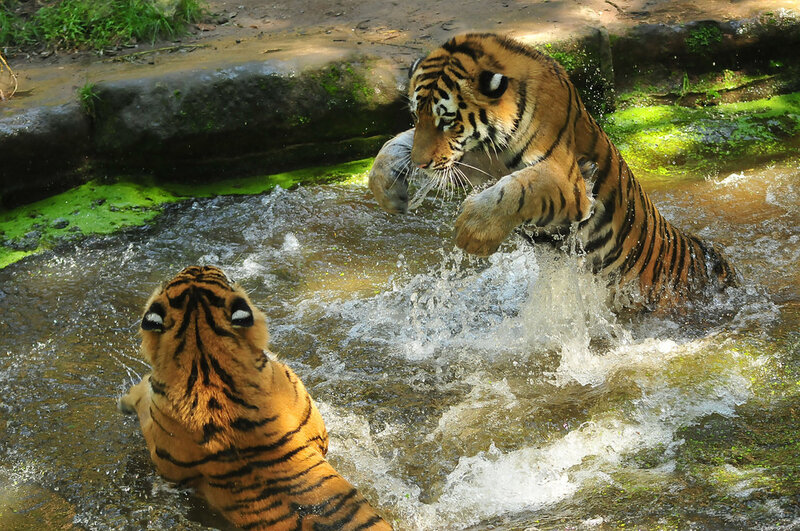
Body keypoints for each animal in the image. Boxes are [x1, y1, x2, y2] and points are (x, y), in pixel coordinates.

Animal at [369, 32, 737, 310]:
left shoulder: (569, 181)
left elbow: (515, 189)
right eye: (416, 115)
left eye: (447, 121)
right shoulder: (473, 162)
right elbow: (396, 143)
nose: (421, 164)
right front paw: (386, 187)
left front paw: (473, 234)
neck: (491, 147)